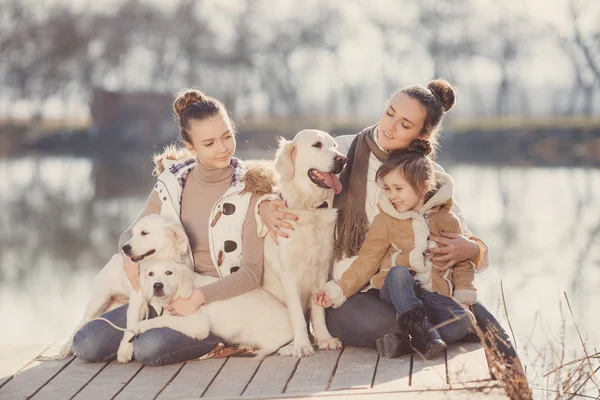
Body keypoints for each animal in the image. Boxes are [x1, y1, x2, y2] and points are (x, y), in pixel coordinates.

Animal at [262, 130, 346, 358]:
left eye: (335, 145)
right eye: (317, 145)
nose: (342, 159)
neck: (308, 208)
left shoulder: (321, 267)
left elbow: (319, 311)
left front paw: (324, 339)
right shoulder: (289, 273)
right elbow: (297, 315)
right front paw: (301, 345)